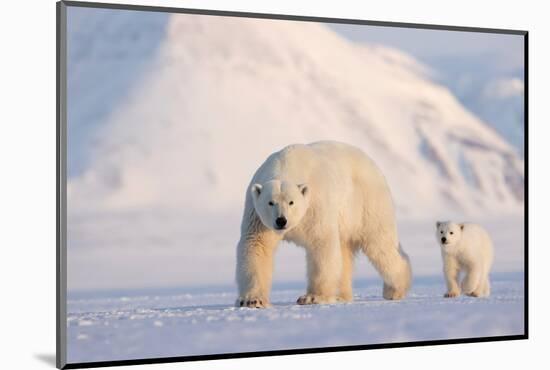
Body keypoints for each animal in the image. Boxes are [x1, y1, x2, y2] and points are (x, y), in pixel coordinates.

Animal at [235, 140, 412, 308]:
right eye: (270, 202)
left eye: (291, 202)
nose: (281, 220)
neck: (286, 164)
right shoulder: (257, 216)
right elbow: (257, 245)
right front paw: (252, 300)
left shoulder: (315, 205)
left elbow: (321, 243)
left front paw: (312, 297)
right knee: (345, 252)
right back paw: (341, 295)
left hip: (366, 203)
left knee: (379, 244)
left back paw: (395, 289)